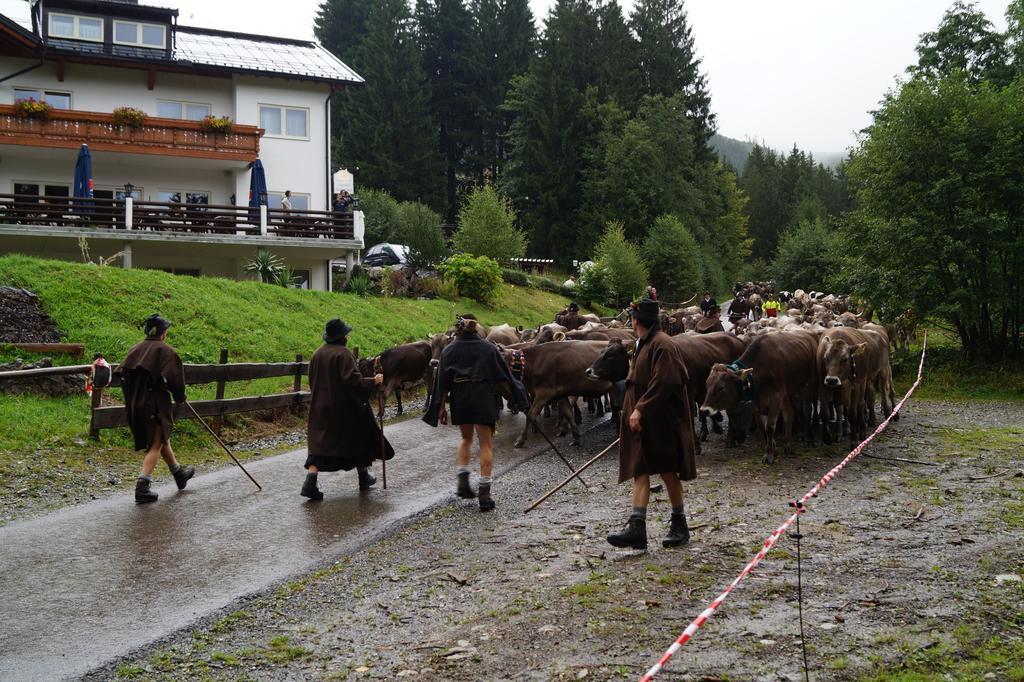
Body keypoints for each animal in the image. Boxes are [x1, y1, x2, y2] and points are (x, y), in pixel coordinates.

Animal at [700, 329, 819, 462]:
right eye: (707, 384)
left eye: (721, 387)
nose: (704, 410)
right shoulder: (756, 401)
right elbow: (763, 427)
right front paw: (773, 449)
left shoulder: (776, 397)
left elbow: (770, 427)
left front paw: (769, 455)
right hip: (787, 393)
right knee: (789, 414)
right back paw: (788, 445)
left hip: (809, 384)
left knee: (807, 410)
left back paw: (810, 439)